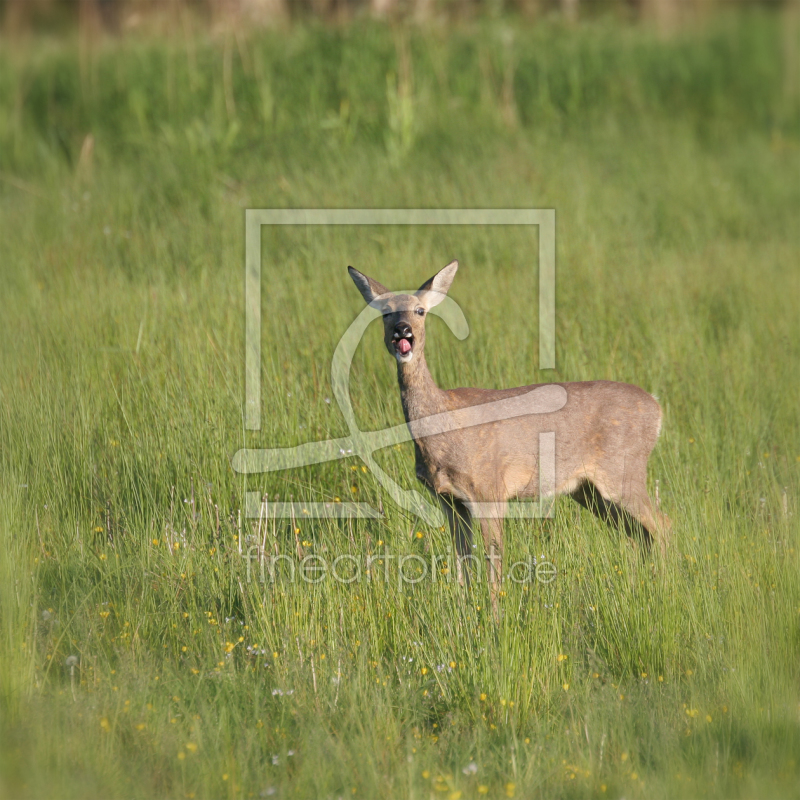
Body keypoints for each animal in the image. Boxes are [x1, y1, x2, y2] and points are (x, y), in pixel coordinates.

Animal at [348, 260, 668, 608]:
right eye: (385, 312)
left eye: (420, 310)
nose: (402, 330)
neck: (443, 426)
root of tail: (656, 407)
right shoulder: (449, 500)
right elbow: (462, 558)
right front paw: (463, 609)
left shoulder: (490, 488)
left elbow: (494, 559)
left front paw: (494, 613)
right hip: (587, 490)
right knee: (640, 534)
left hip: (623, 471)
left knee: (663, 524)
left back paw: (665, 585)